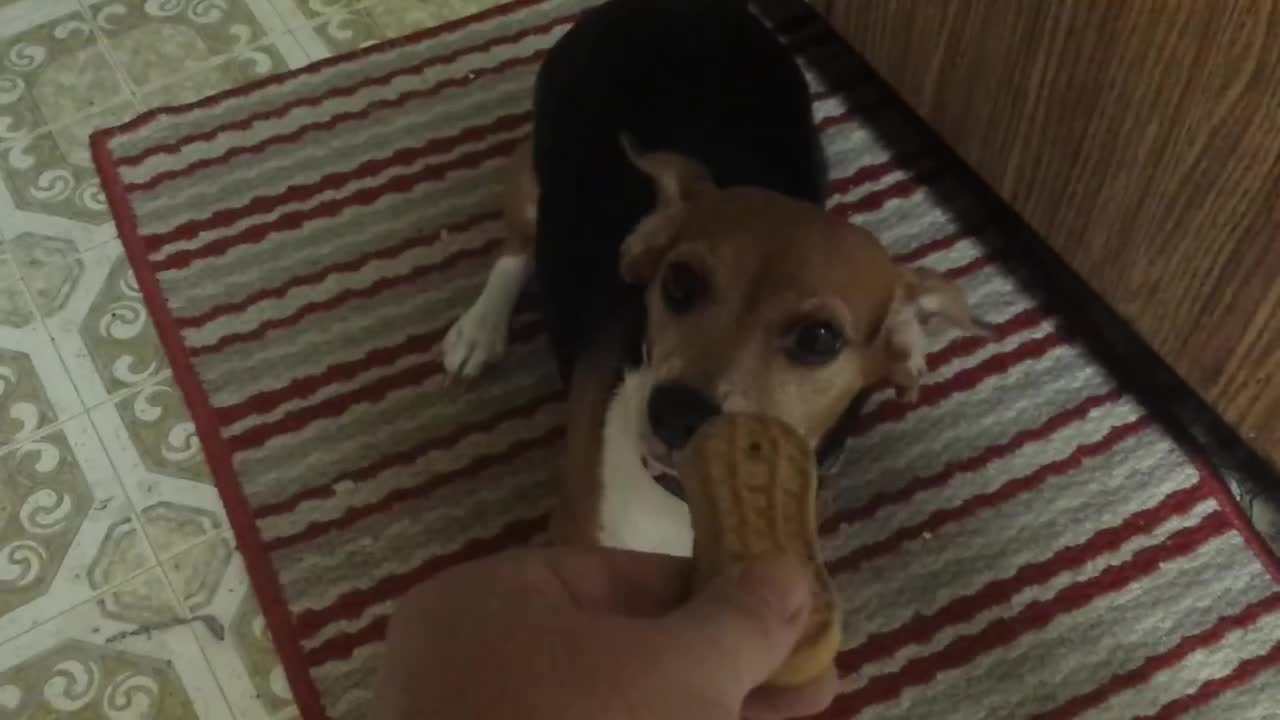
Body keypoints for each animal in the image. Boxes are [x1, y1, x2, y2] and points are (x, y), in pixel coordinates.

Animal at [440, 0, 977, 556]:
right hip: (532, 173)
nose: (675, 412)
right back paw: (479, 330)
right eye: (678, 283)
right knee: (516, 251)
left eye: (819, 338)